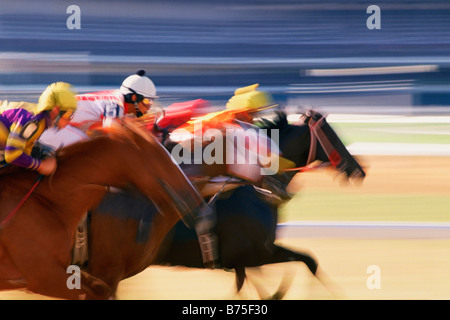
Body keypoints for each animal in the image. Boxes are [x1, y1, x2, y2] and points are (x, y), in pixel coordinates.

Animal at [83, 110, 366, 300]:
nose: (358, 170)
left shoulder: (245, 261)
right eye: (332, 135)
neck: (254, 190)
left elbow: (288, 271)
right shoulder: (257, 254)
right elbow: (307, 262)